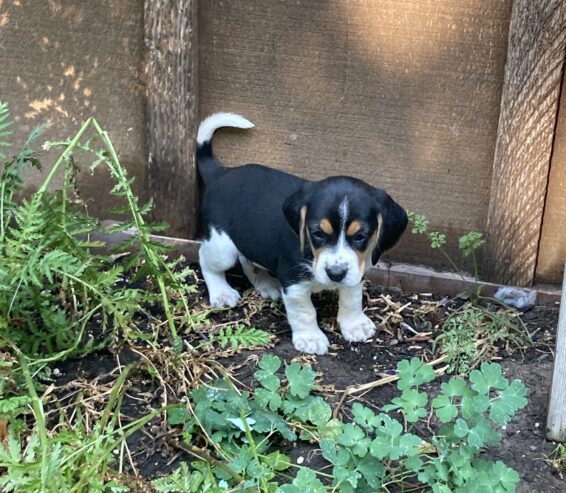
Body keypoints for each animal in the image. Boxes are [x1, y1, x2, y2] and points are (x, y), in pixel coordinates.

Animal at [196, 112, 408, 354]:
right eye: (318, 233)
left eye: (360, 237)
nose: (335, 274)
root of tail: (222, 173)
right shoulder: (293, 280)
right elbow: (305, 312)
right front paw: (310, 338)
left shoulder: (356, 270)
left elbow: (352, 298)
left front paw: (354, 324)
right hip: (221, 248)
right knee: (206, 259)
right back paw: (221, 292)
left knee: (247, 260)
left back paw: (267, 284)